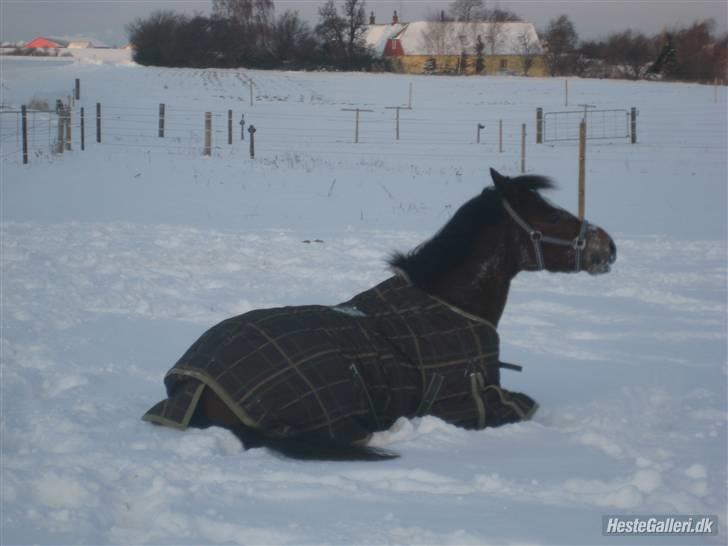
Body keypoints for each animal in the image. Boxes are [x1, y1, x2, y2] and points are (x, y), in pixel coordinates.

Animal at [144, 168, 620, 456]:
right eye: (550, 216)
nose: (608, 246)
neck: (451, 304)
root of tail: (190, 384)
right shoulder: (475, 405)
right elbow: (525, 405)